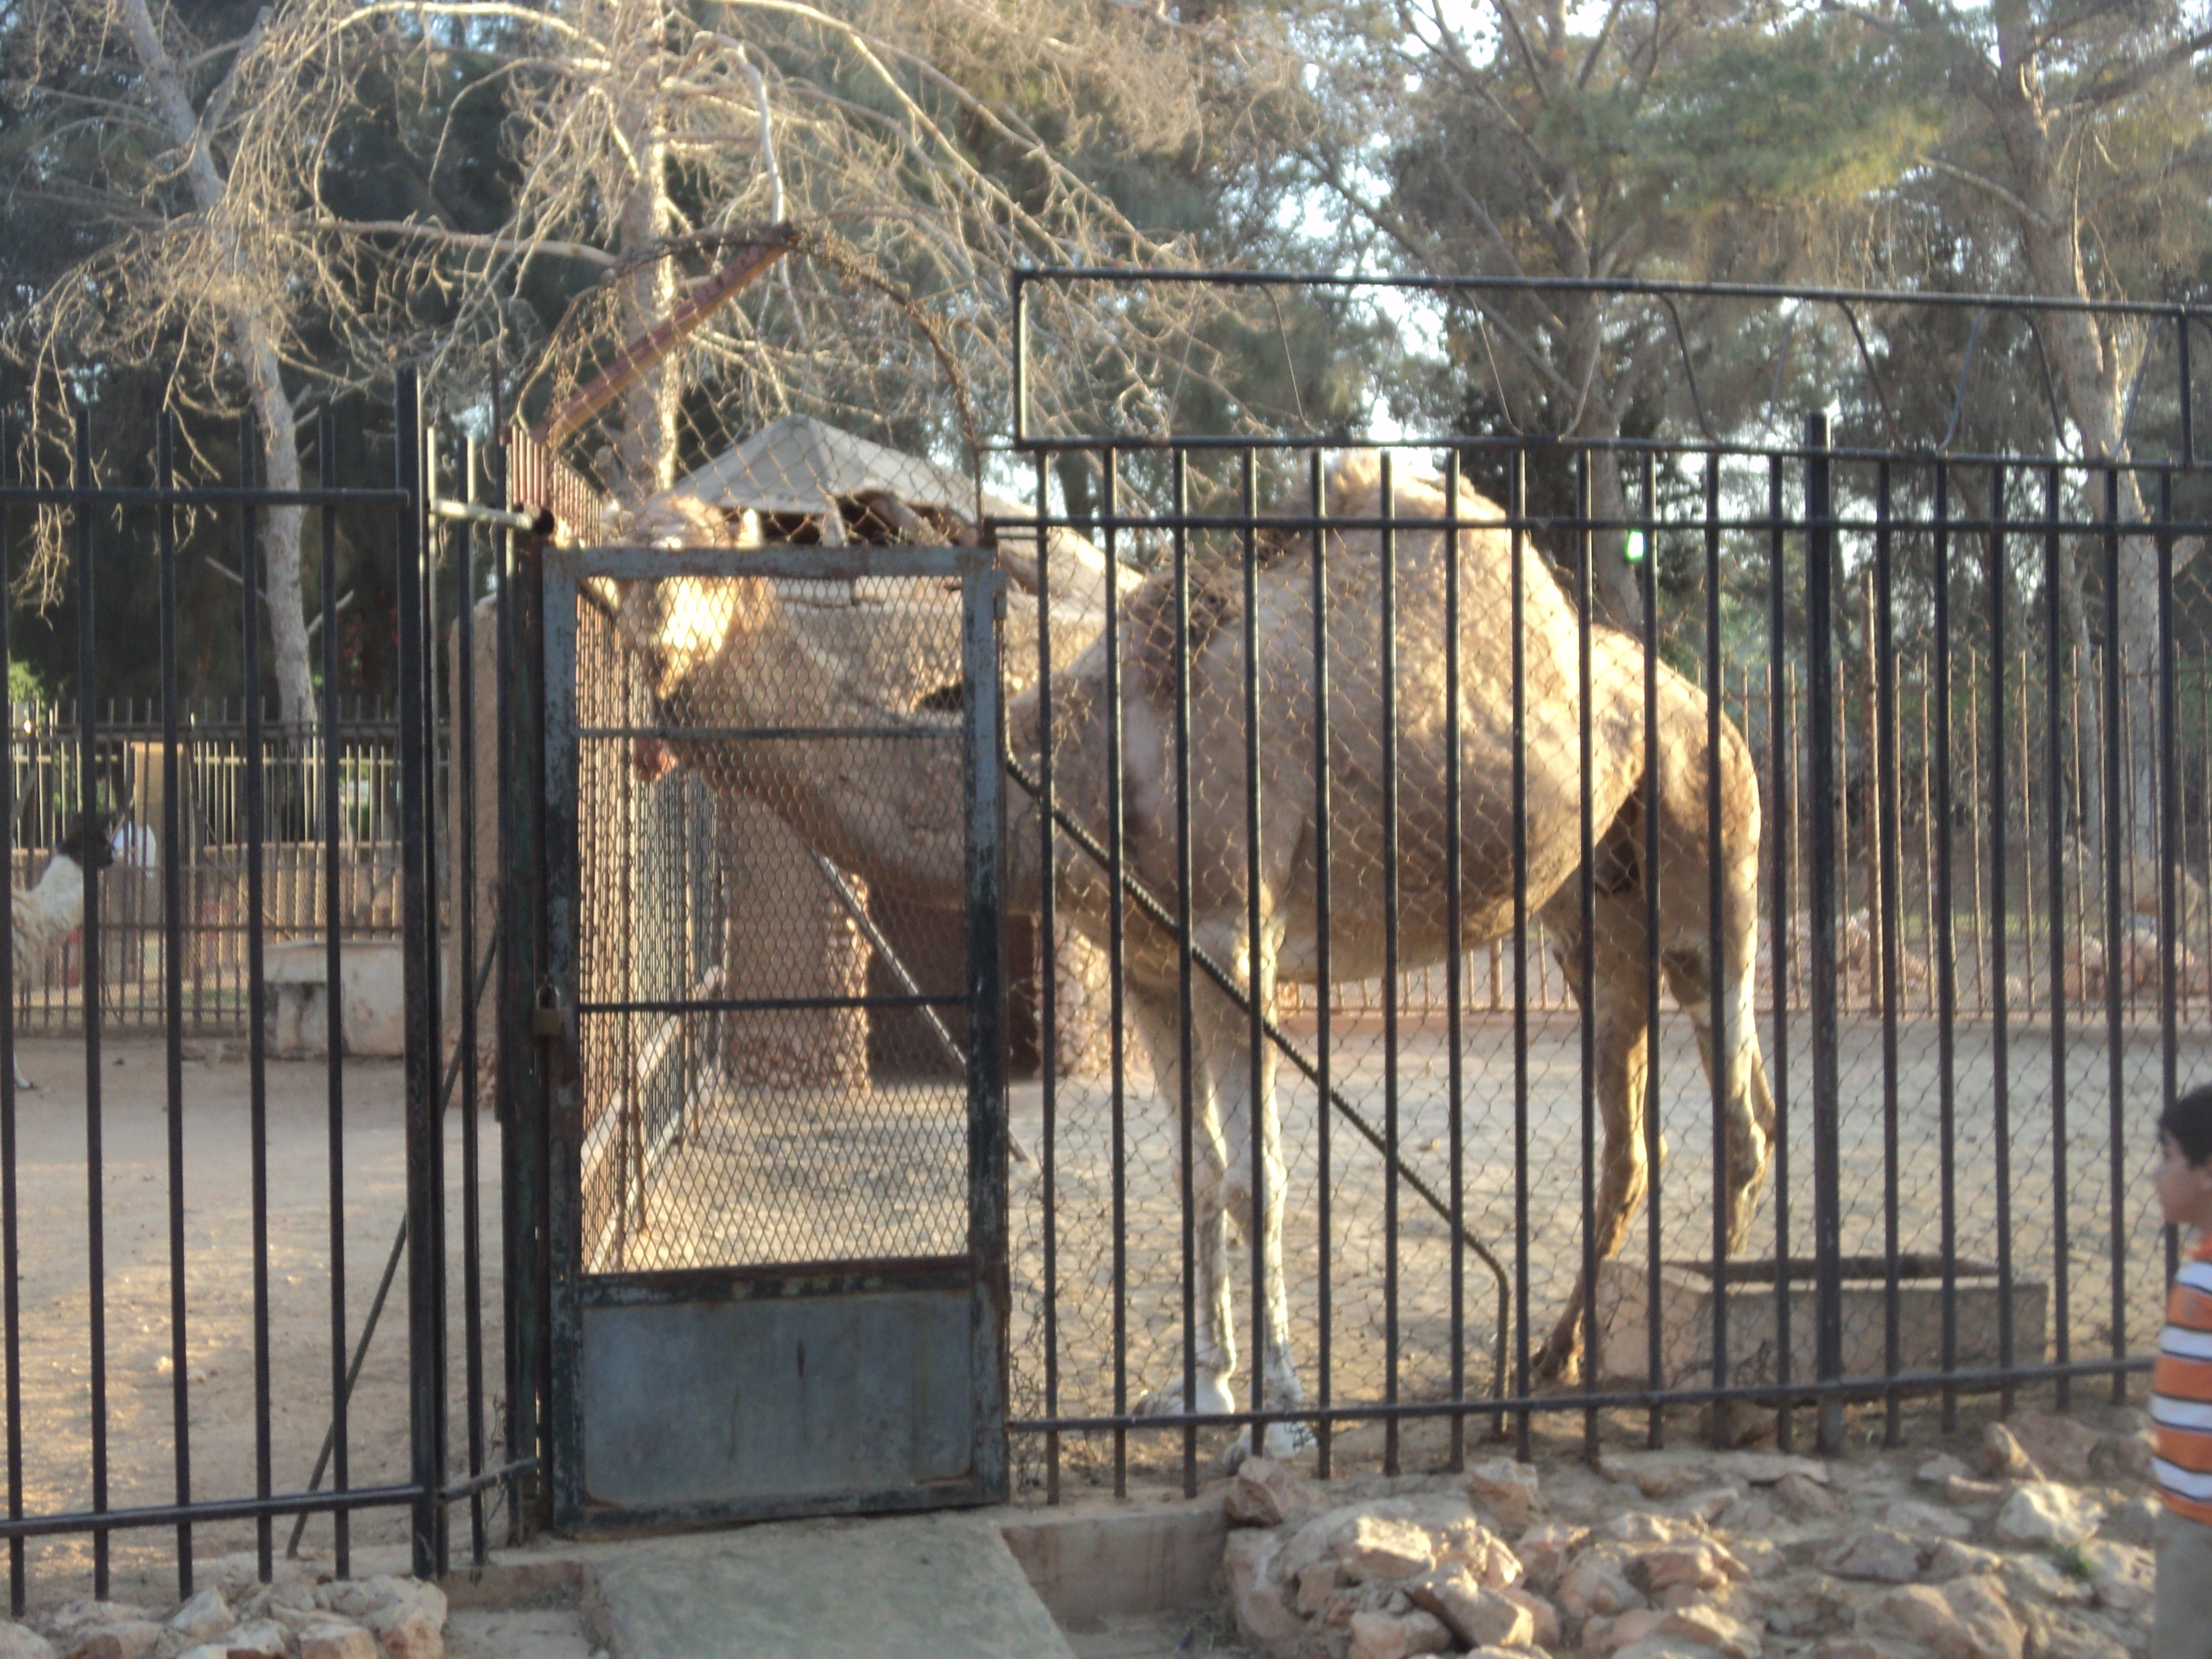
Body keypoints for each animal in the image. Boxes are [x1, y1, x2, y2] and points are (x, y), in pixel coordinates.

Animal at [588, 451, 1778, 1451]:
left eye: (697, 557)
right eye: (617, 555)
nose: (641, 635)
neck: (1081, 769)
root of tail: (1695, 698)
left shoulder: (1231, 940)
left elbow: (1259, 1180)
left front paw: (1283, 1416)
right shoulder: (1150, 969)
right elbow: (1191, 1171)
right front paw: (1200, 1386)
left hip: (1709, 849)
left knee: (1738, 1105)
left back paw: (1724, 1371)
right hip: (1589, 914)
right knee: (1632, 1133)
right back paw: (1548, 1360)